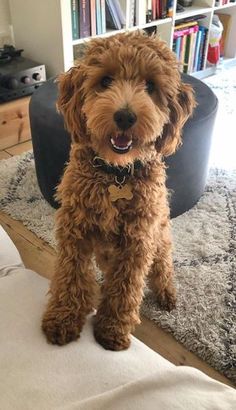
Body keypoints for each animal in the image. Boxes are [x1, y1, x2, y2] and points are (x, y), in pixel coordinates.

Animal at [41, 32, 195, 352]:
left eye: (151, 86)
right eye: (105, 80)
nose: (125, 117)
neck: (117, 174)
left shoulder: (138, 242)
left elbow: (126, 288)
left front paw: (112, 329)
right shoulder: (74, 231)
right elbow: (71, 275)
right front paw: (63, 318)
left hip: (160, 237)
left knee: (163, 266)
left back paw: (167, 293)